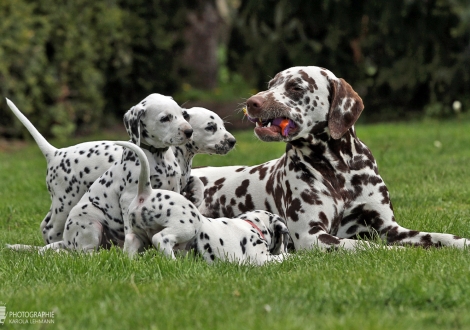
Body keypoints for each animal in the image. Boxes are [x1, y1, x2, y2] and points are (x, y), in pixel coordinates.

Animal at [6, 98, 235, 245]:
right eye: (211, 127)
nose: (233, 141)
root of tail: (56, 153)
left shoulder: (178, 181)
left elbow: (197, 181)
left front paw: (196, 195)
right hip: (66, 202)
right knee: (50, 227)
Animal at [192, 65, 470, 250]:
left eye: (296, 86)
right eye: (271, 85)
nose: (252, 102)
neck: (339, 170)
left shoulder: (389, 228)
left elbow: (438, 237)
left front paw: (462, 242)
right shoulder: (311, 235)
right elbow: (368, 247)